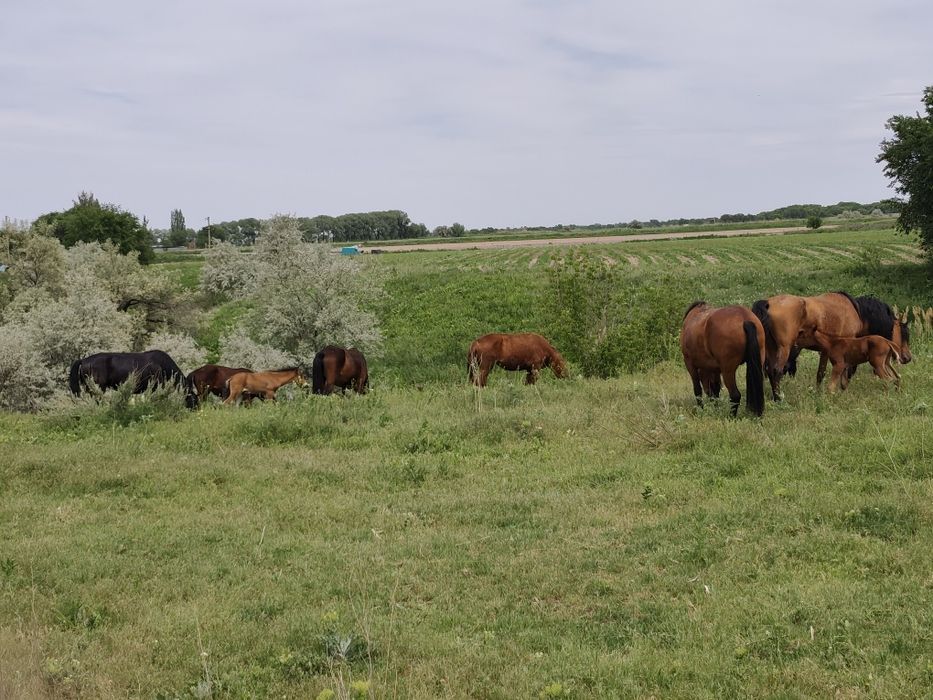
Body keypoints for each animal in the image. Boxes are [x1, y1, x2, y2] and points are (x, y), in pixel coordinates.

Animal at [752, 292, 912, 400]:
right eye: (905, 333)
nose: (907, 358)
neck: (856, 311)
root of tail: (768, 303)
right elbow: (847, 371)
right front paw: (842, 388)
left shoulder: (825, 350)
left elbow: (820, 373)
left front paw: (818, 392)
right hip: (784, 348)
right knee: (776, 371)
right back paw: (779, 397)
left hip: (772, 349)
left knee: (769, 371)